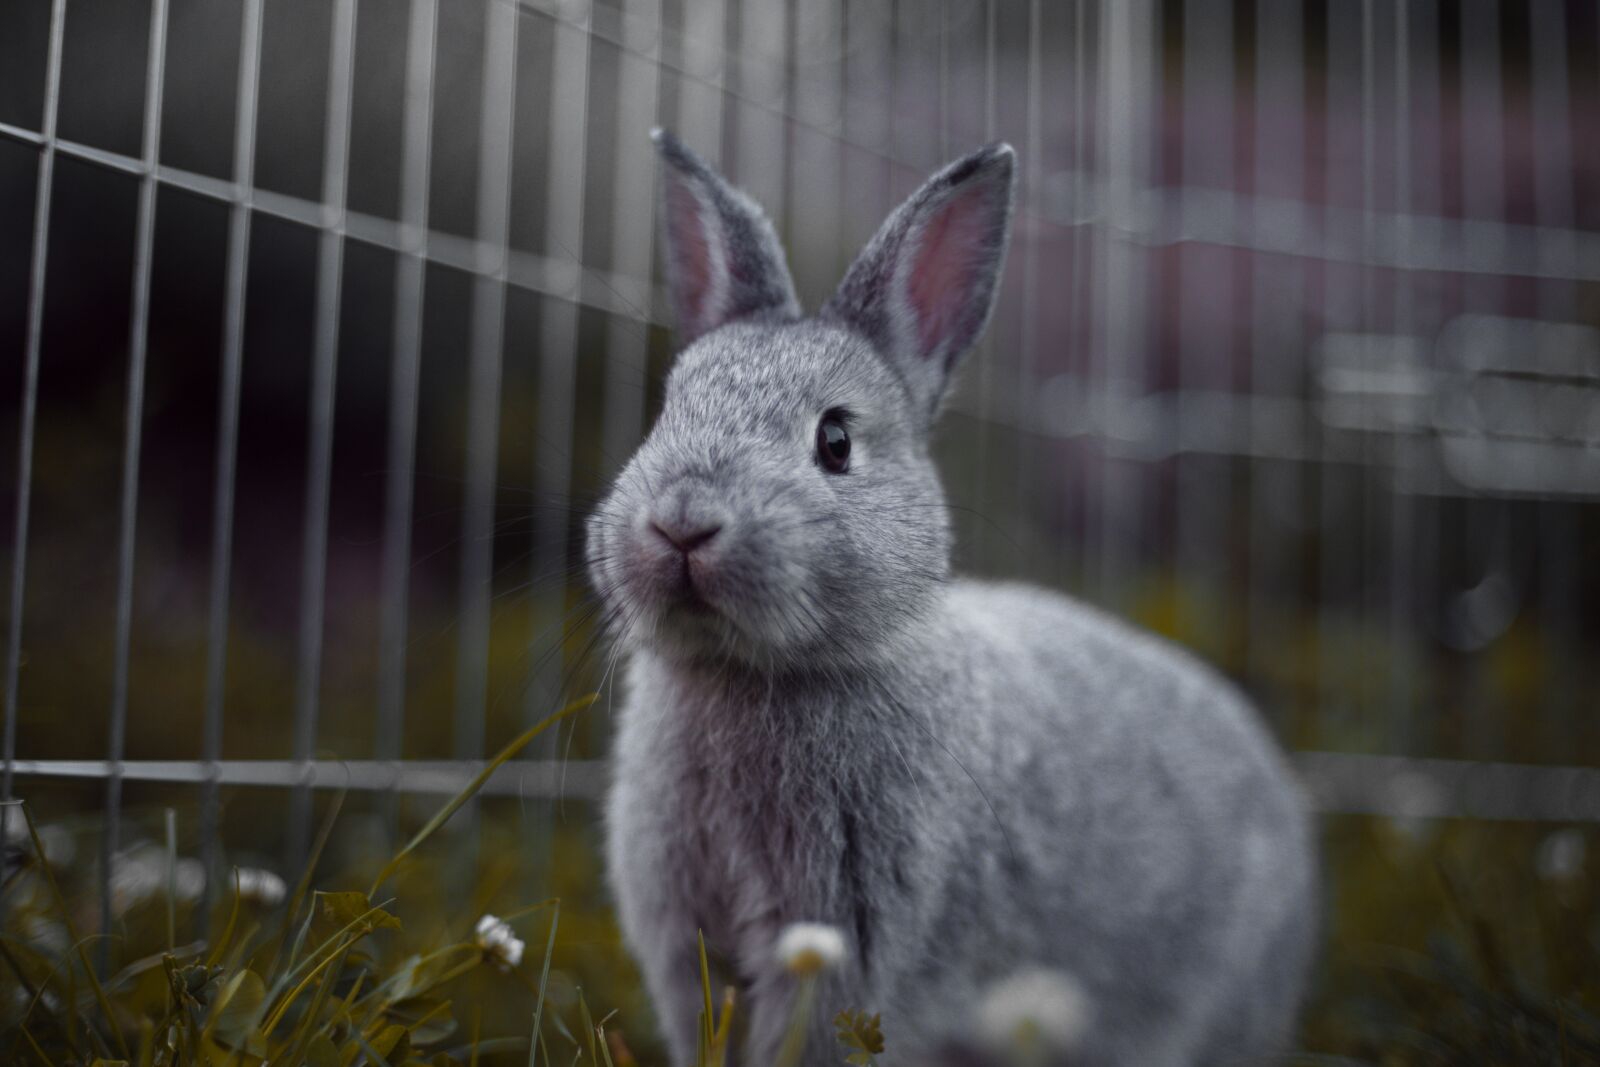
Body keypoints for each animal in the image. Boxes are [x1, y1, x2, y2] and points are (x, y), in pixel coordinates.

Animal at [586, 129, 1318, 1067]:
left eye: (835, 440)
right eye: (666, 412)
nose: (682, 522)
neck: (750, 672)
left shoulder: (853, 942)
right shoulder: (688, 945)